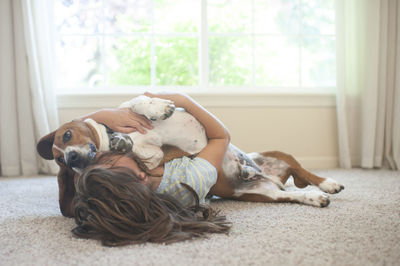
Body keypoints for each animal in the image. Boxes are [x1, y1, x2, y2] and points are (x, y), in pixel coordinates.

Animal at [38, 96, 344, 218]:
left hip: (275, 154)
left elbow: (138, 101)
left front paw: (157, 108)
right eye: (60, 161)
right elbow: (142, 151)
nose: (72, 159)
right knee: (294, 194)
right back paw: (315, 196)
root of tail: (269, 178)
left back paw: (329, 183)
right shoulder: (155, 158)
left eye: (66, 135)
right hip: (265, 194)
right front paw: (122, 142)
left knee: (303, 172)